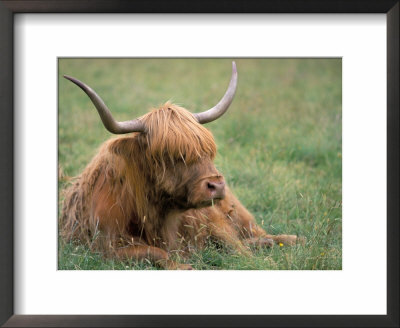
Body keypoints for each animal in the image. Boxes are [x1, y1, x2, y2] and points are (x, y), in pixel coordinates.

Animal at [61, 62, 300, 270]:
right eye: (168, 155)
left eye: (208, 150)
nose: (216, 185)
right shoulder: (106, 248)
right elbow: (154, 252)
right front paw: (183, 266)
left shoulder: (213, 222)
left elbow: (237, 248)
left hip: (240, 215)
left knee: (259, 235)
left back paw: (291, 239)